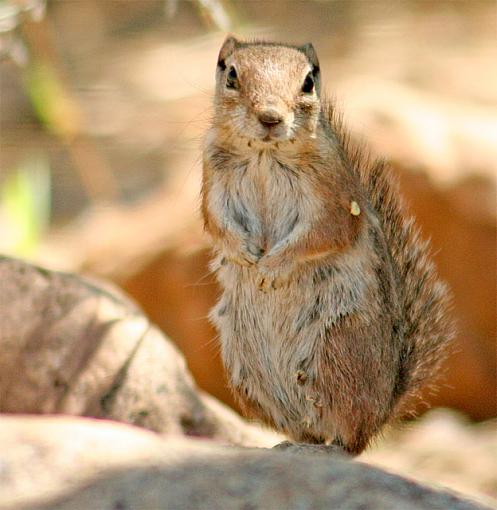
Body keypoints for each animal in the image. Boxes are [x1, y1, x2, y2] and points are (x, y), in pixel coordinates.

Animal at [200, 35, 452, 454]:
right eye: (231, 74)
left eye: (308, 82)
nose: (270, 117)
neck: (265, 153)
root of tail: (383, 410)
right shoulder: (212, 179)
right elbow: (215, 222)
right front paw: (245, 254)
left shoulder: (331, 194)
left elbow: (324, 232)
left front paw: (271, 267)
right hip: (245, 369)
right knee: (306, 428)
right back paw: (290, 446)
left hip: (337, 351)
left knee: (348, 436)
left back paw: (335, 446)